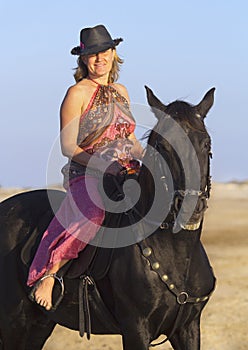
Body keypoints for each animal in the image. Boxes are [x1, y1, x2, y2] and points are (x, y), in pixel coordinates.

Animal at [0, 85, 215, 350]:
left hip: (37, 325)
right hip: (13, 324)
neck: (175, 253)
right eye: (163, 146)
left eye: (205, 143)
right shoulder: (135, 329)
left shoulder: (188, 327)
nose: (191, 207)